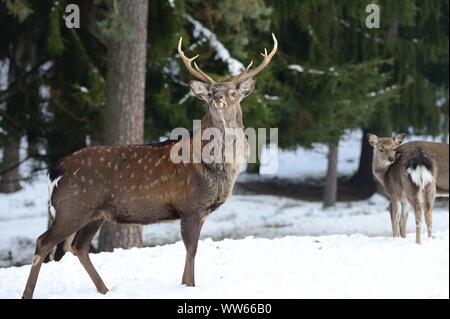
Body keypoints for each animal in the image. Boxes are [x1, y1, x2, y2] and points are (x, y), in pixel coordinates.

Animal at [22, 33, 278, 298]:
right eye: (210, 93)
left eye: (233, 93)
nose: (218, 97)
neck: (216, 170)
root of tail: (54, 170)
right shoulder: (190, 205)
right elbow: (191, 250)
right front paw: (189, 286)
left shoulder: (200, 211)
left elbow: (190, 250)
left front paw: (184, 284)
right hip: (72, 208)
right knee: (44, 242)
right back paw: (29, 293)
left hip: (94, 213)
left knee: (78, 246)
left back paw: (105, 289)